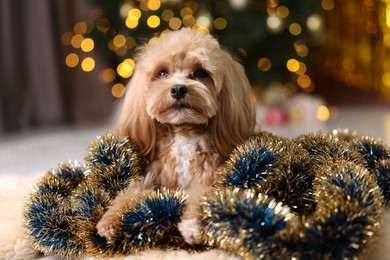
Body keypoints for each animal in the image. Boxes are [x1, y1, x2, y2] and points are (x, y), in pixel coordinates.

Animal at [97, 27, 256, 245]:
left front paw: (193, 225)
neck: (184, 134)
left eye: (201, 72)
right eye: (162, 73)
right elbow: (131, 191)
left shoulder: (214, 177)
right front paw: (111, 219)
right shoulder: (154, 178)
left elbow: (201, 193)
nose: (179, 88)